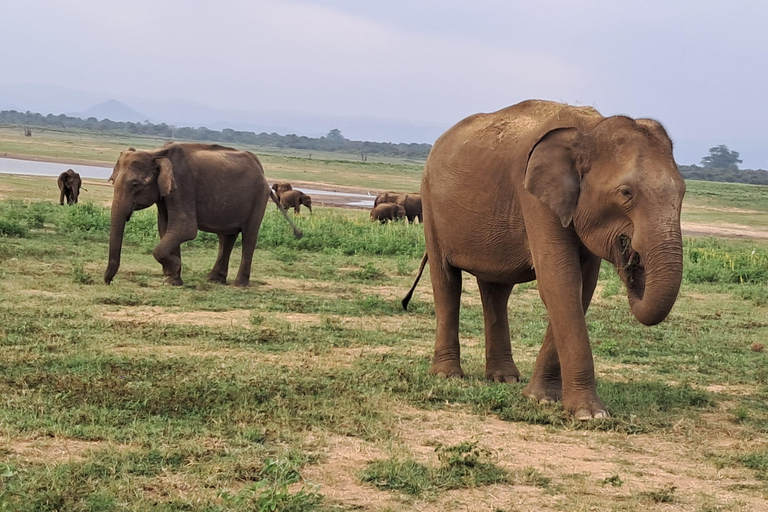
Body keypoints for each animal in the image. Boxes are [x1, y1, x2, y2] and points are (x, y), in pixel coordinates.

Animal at [103, 143, 302, 288]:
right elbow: (165, 227)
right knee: (227, 237)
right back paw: (214, 279)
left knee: (249, 236)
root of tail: (260, 168)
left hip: (258, 196)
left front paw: (174, 268)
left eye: (135, 184)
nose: (108, 282)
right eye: (112, 181)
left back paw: (239, 285)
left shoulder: (183, 185)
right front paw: (172, 281)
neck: (156, 153)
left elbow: (185, 228)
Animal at [402, 100, 684, 420]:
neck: (589, 129)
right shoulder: (536, 201)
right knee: (447, 281)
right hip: (430, 204)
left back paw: (504, 378)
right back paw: (448, 375)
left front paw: (542, 399)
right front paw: (589, 414)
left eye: (683, 192)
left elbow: (582, 288)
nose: (632, 263)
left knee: (495, 290)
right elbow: (560, 284)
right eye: (626, 193)